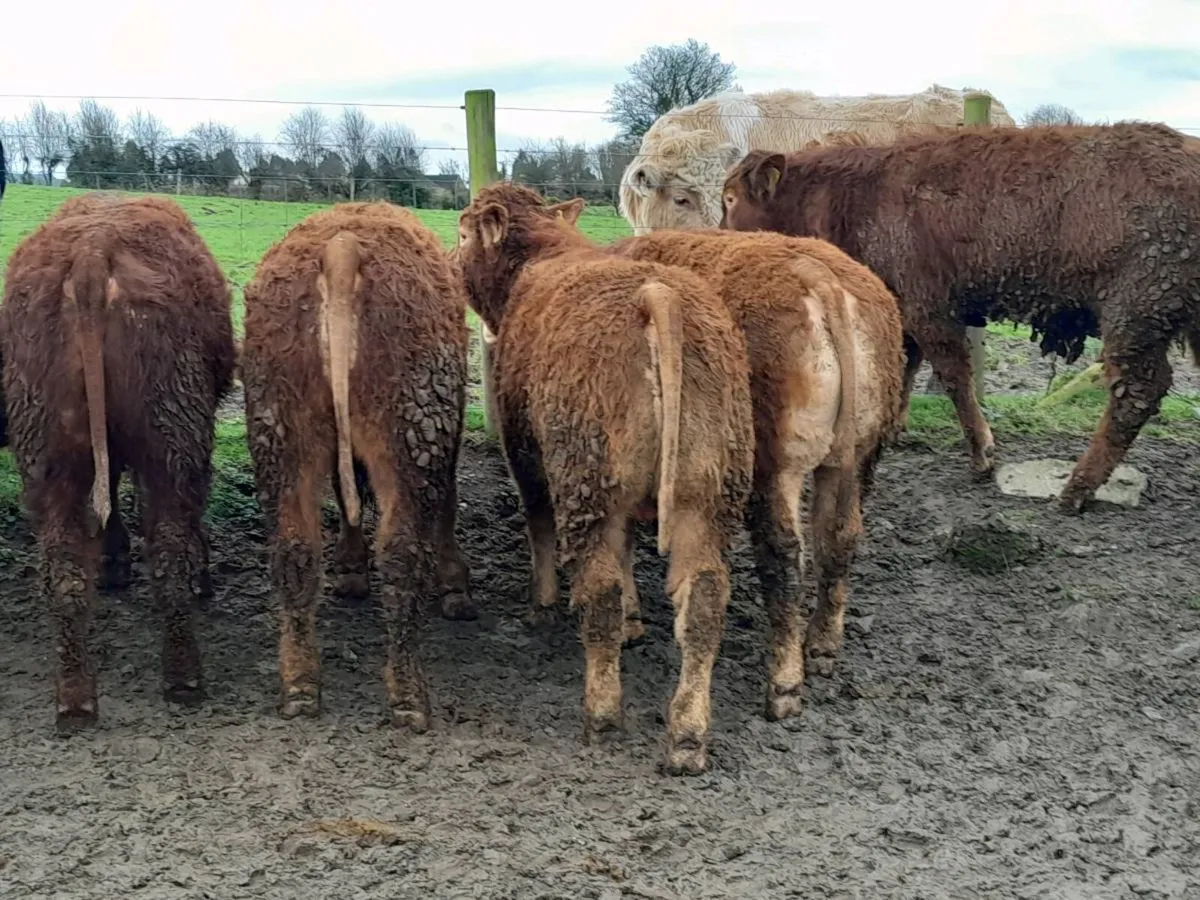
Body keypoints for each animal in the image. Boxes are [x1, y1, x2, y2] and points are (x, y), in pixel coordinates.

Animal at [0, 193, 236, 728]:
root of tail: (93, 251)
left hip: (54, 454)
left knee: (68, 562)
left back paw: (79, 696)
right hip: (170, 439)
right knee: (164, 549)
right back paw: (178, 678)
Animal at [241, 201, 472, 731]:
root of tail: (342, 247)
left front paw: (348, 568)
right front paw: (456, 585)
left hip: (281, 429)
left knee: (295, 551)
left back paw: (301, 684)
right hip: (414, 427)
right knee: (402, 554)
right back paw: (408, 694)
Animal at [454, 182, 754, 774]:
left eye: (460, 233)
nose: (450, 262)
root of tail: (656, 293)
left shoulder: (522, 448)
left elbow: (538, 524)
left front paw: (543, 603)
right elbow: (632, 550)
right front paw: (638, 622)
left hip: (585, 475)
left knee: (600, 590)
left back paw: (602, 712)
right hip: (706, 494)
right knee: (705, 599)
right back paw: (687, 734)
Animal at [595, 225, 906, 710]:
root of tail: (818, 273)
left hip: (778, 464)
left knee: (784, 554)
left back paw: (784, 680)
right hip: (855, 455)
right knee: (839, 538)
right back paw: (822, 644)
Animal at [720, 121, 1200, 513]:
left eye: (730, 198)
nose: (719, 239)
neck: (856, 197)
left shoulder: (928, 307)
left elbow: (954, 377)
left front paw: (982, 454)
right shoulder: (901, 310)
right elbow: (903, 368)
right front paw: (893, 428)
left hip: (1136, 312)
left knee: (1138, 392)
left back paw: (1077, 488)